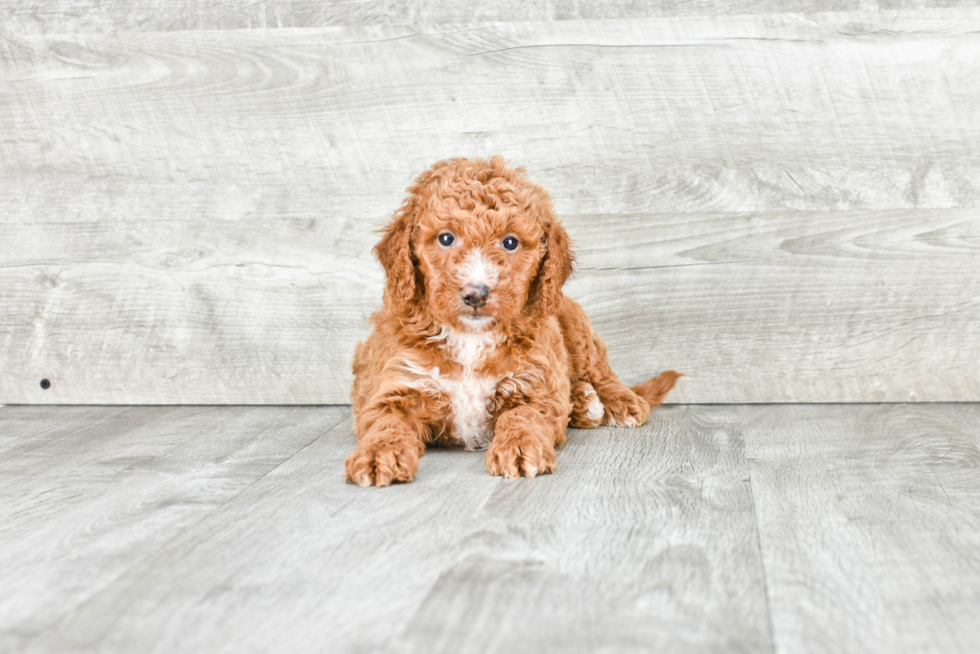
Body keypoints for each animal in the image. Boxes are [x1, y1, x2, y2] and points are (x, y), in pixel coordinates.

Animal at [346, 159, 680, 486]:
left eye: (510, 242)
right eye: (445, 238)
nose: (475, 293)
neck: (470, 337)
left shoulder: (532, 386)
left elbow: (523, 418)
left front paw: (520, 447)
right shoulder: (399, 385)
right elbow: (386, 422)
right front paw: (379, 454)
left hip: (572, 321)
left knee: (599, 370)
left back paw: (617, 401)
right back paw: (584, 403)